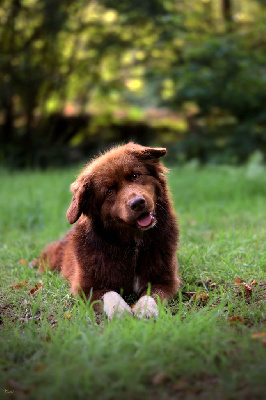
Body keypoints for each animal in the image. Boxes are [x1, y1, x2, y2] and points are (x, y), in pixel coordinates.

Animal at [36, 142, 180, 320]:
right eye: (109, 191)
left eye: (135, 176)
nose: (137, 203)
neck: (133, 246)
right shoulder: (84, 287)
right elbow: (109, 294)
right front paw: (120, 311)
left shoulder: (167, 280)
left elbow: (153, 294)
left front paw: (145, 309)